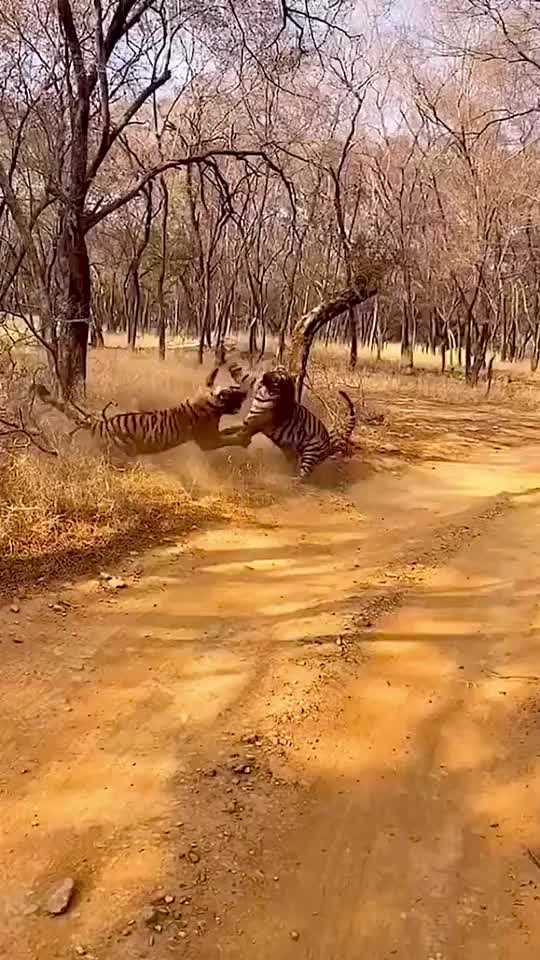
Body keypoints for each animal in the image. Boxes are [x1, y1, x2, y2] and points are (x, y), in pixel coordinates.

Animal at [34, 366, 247, 456]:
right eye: (234, 392)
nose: (245, 392)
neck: (212, 404)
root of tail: (100, 423)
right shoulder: (208, 441)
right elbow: (229, 439)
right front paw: (243, 439)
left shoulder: (213, 433)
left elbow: (228, 431)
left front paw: (239, 429)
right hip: (121, 453)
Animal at [220, 359, 357, 478]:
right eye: (274, 371)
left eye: (276, 377)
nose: (264, 375)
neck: (269, 394)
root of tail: (329, 445)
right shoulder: (250, 417)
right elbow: (234, 427)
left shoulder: (254, 422)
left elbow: (242, 433)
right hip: (292, 453)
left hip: (309, 453)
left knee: (304, 476)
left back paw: (290, 482)